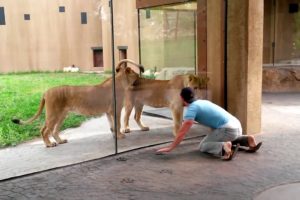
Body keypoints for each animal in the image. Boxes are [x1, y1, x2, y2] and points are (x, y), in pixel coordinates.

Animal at [13, 59, 145, 147]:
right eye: (136, 74)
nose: (141, 77)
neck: (121, 82)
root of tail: (46, 92)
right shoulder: (115, 110)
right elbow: (117, 124)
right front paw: (120, 136)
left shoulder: (108, 112)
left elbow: (112, 126)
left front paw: (115, 136)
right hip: (53, 114)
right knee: (44, 130)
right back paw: (49, 144)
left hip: (62, 115)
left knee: (54, 130)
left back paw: (60, 141)